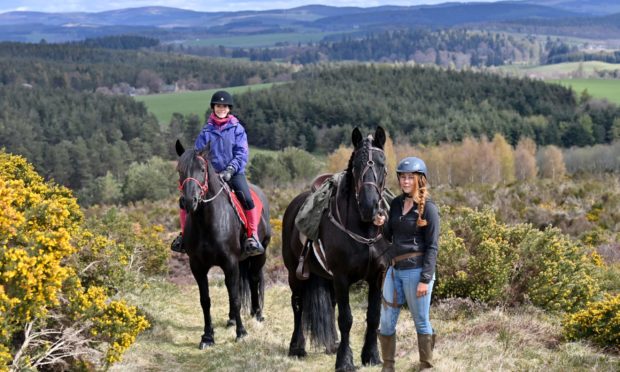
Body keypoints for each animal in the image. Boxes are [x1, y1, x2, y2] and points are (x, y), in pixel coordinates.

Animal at [176, 140, 270, 348]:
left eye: (202, 169)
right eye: (179, 170)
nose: (189, 201)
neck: (207, 222)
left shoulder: (230, 263)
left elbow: (235, 298)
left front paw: (241, 333)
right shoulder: (198, 266)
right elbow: (205, 300)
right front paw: (207, 337)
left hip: (259, 256)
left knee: (254, 280)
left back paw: (257, 314)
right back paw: (232, 319)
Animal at [280, 127, 388, 370]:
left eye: (382, 163)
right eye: (355, 165)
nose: (369, 207)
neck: (364, 230)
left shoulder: (377, 276)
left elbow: (374, 316)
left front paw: (371, 355)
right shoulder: (341, 277)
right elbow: (346, 319)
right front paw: (345, 360)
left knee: (330, 303)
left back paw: (332, 344)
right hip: (295, 274)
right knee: (298, 305)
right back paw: (297, 347)